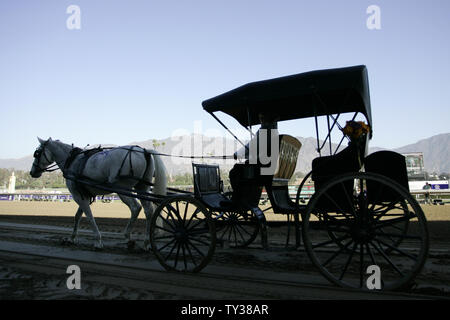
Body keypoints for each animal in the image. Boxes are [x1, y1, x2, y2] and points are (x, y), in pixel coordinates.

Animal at [29, 138, 167, 250]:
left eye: (37, 153)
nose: (32, 172)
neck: (73, 161)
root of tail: (144, 151)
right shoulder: (83, 194)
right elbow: (77, 216)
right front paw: (72, 238)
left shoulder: (77, 195)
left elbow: (89, 216)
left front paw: (97, 241)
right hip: (141, 187)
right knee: (148, 210)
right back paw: (145, 242)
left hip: (122, 188)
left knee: (135, 207)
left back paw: (128, 237)